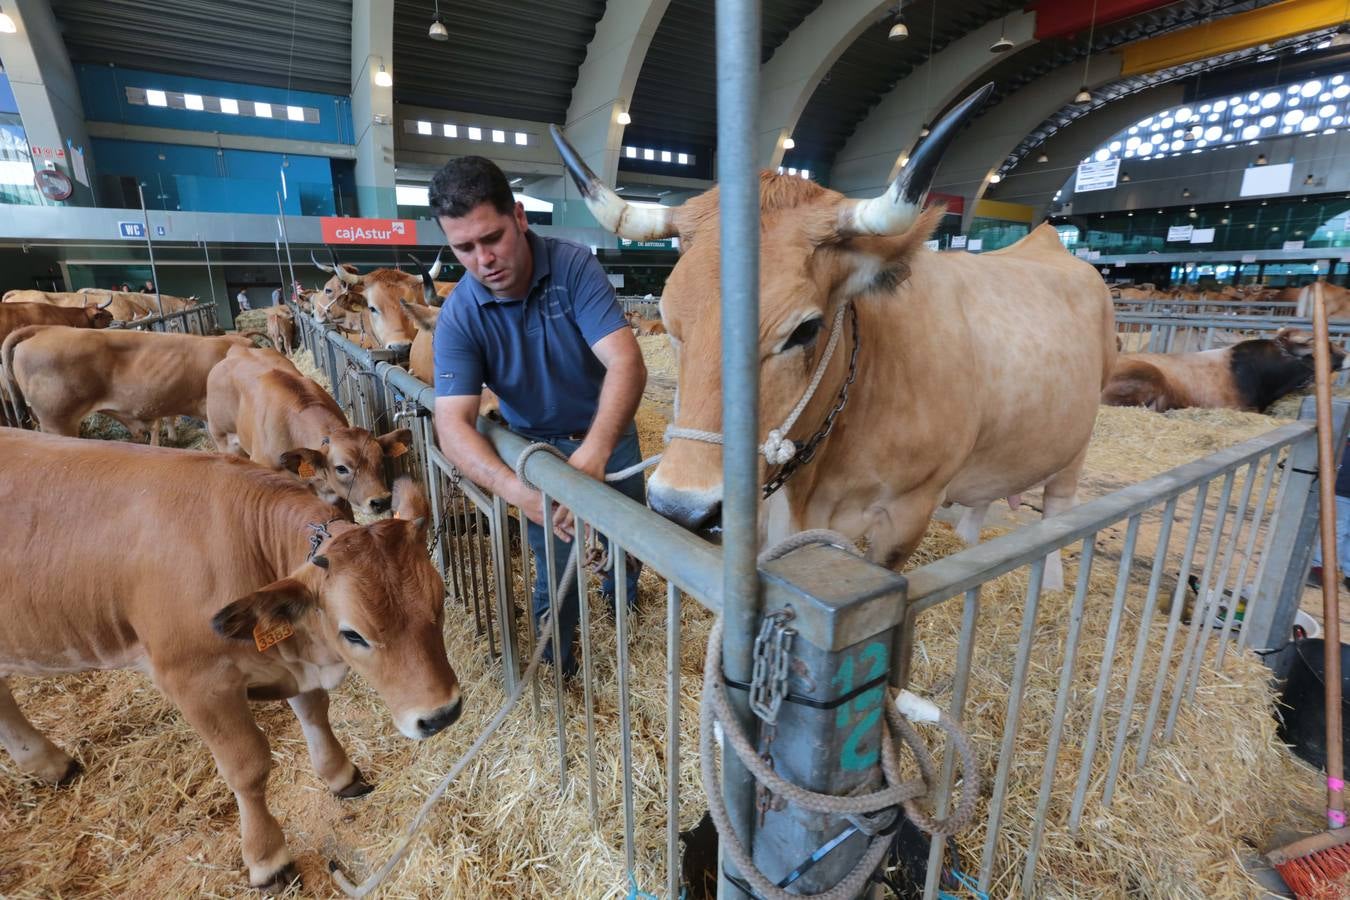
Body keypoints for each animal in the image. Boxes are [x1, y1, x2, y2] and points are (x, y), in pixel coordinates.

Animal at [548, 86, 1117, 591]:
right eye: (668, 322)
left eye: (805, 329)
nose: (681, 509)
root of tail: (1049, 241)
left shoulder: (909, 510)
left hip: (1078, 442)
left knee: (1059, 507)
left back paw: (1052, 585)